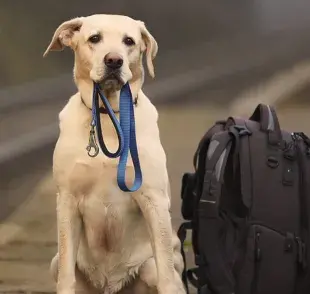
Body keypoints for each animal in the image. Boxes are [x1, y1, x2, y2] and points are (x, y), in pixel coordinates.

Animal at [42, 14, 185, 294]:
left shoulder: (153, 200)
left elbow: (165, 271)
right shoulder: (67, 200)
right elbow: (66, 273)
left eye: (129, 41)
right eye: (94, 38)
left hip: (151, 265)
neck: (109, 116)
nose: (114, 60)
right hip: (55, 262)